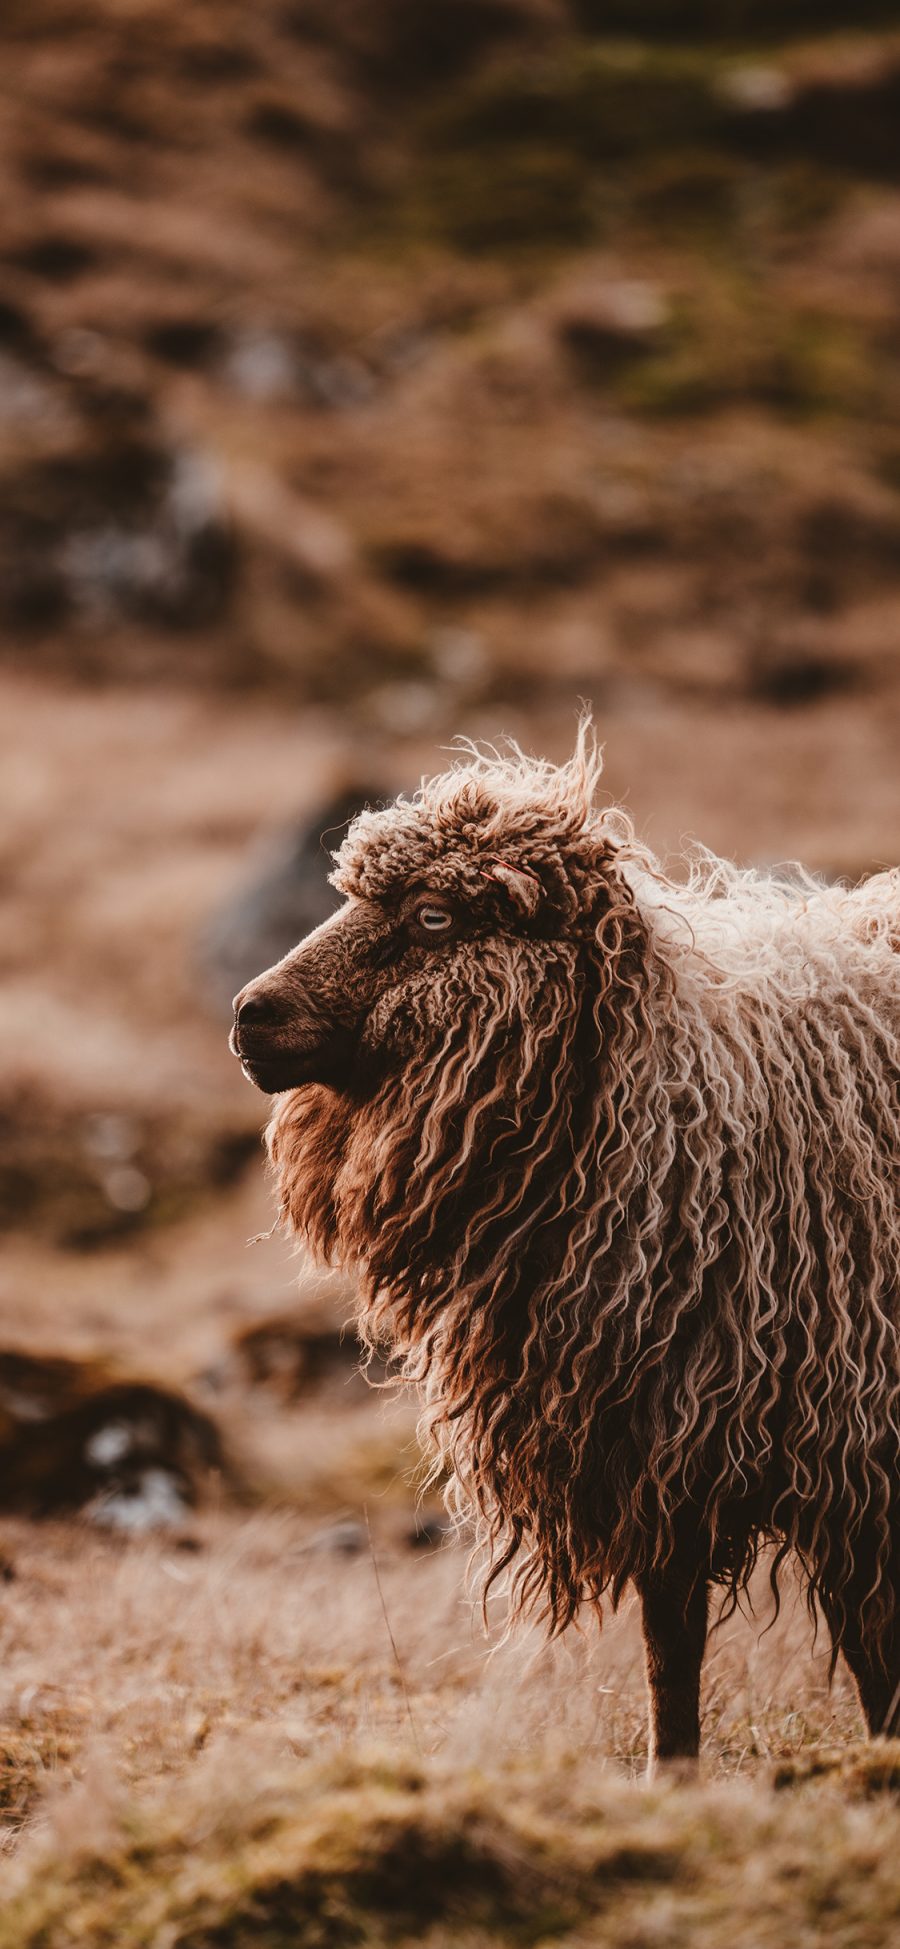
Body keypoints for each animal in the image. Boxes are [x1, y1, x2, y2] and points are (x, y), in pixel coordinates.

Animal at [231, 732, 900, 1769]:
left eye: (433, 916)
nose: (248, 1013)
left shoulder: (851, 1441)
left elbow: (870, 1652)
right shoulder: (655, 1434)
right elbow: (672, 1644)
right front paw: (673, 1779)